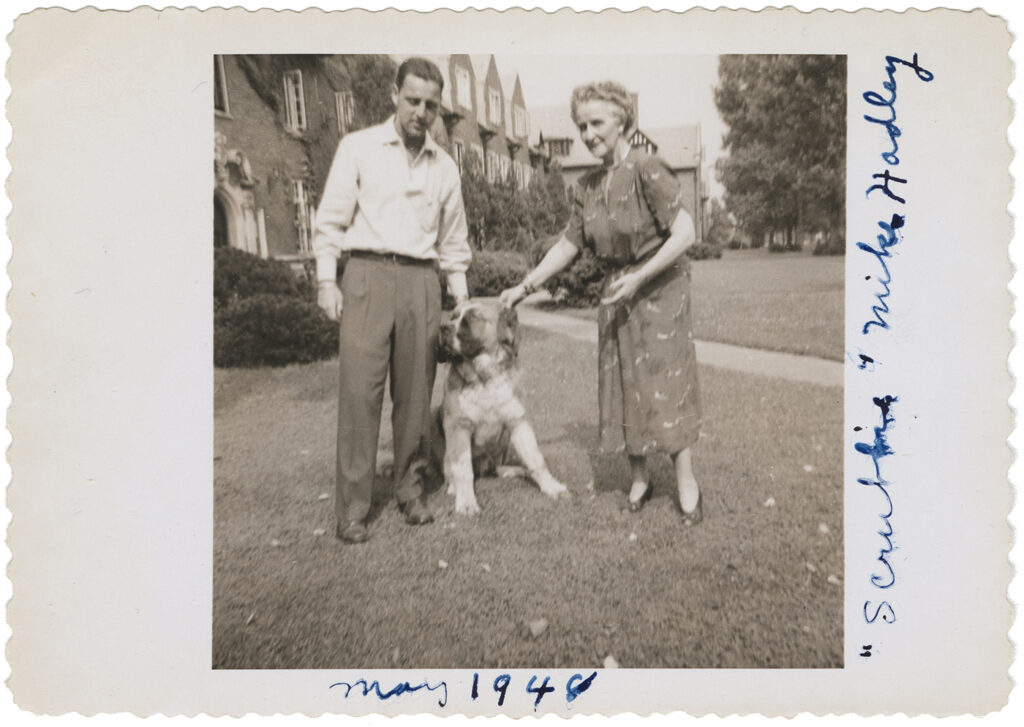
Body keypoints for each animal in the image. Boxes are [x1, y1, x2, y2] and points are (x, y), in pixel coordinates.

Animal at [436, 298, 573, 516]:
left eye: (471, 319)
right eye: (452, 317)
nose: (443, 328)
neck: (484, 379)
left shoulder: (518, 421)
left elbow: (536, 459)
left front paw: (552, 487)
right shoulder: (458, 425)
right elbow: (463, 467)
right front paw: (466, 502)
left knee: (499, 467)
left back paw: (513, 470)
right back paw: (453, 486)